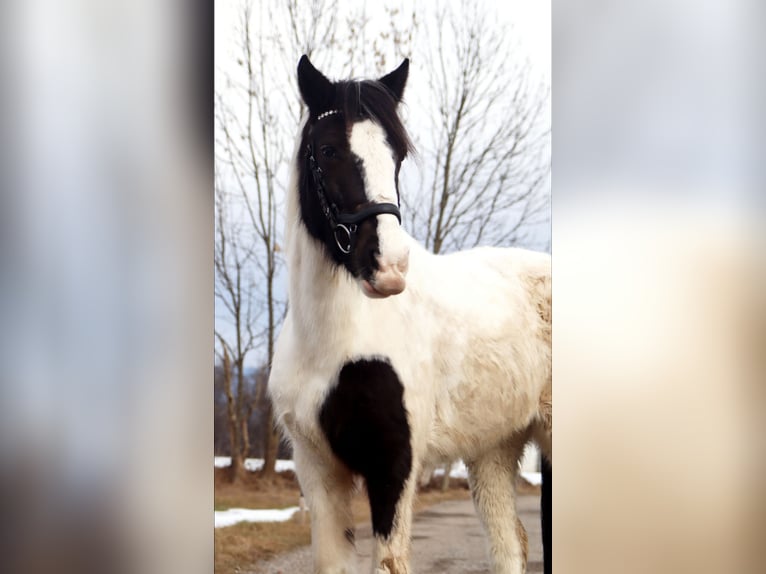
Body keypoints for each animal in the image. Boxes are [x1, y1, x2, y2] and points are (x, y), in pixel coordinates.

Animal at [268, 55, 552, 574]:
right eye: (328, 150)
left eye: (396, 155)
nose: (390, 267)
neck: (332, 343)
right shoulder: (317, 470)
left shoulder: (393, 466)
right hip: (493, 451)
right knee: (509, 547)